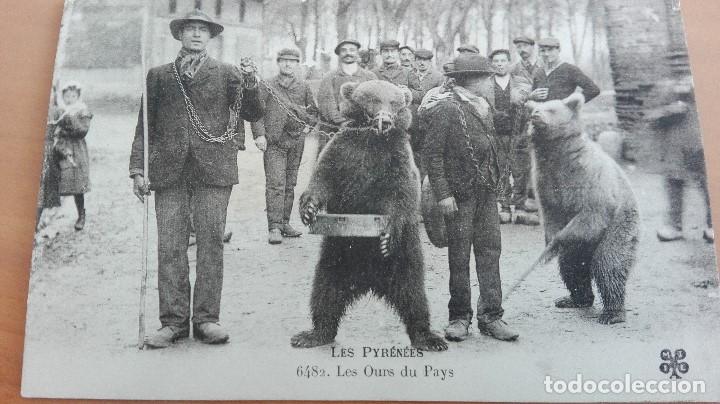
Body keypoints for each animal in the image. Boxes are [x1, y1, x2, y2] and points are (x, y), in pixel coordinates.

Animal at [291, 80, 448, 351]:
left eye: (394, 102)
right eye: (373, 99)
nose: (385, 120)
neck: (372, 138)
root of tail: (369, 281)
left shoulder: (396, 156)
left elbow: (401, 191)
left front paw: (386, 234)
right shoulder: (343, 147)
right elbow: (323, 176)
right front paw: (309, 209)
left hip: (404, 255)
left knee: (414, 295)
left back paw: (429, 338)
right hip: (335, 255)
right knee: (325, 291)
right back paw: (313, 334)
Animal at [526, 93, 639, 324]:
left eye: (551, 108)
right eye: (534, 108)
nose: (535, 114)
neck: (556, 153)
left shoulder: (587, 175)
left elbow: (594, 210)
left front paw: (555, 242)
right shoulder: (544, 179)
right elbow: (550, 211)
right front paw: (550, 240)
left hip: (619, 227)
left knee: (608, 264)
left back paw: (612, 313)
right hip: (579, 248)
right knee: (571, 266)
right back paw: (573, 299)